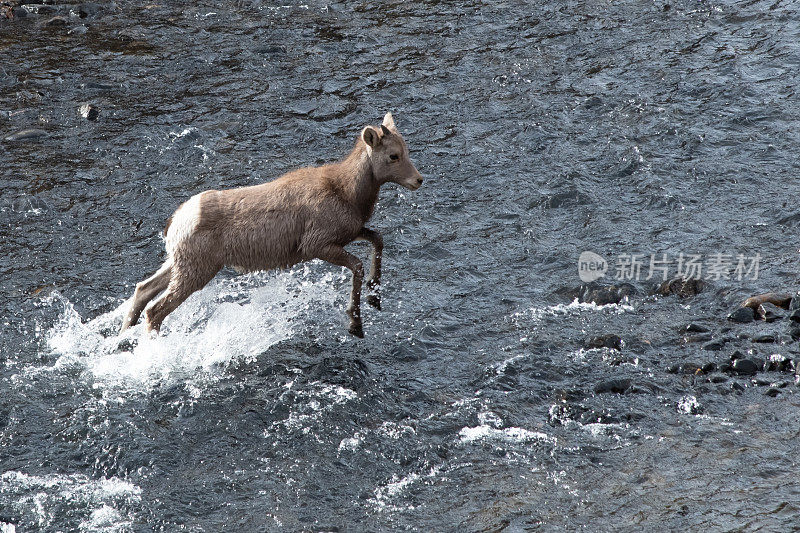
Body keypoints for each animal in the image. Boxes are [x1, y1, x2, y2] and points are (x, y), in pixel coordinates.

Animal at [119, 112, 424, 336]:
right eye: (393, 156)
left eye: (406, 151)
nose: (418, 180)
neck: (346, 191)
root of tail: (176, 221)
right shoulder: (318, 246)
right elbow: (358, 266)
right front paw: (354, 324)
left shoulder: (350, 234)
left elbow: (377, 239)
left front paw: (375, 296)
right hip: (195, 272)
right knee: (156, 311)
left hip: (179, 264)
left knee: (143, 290)